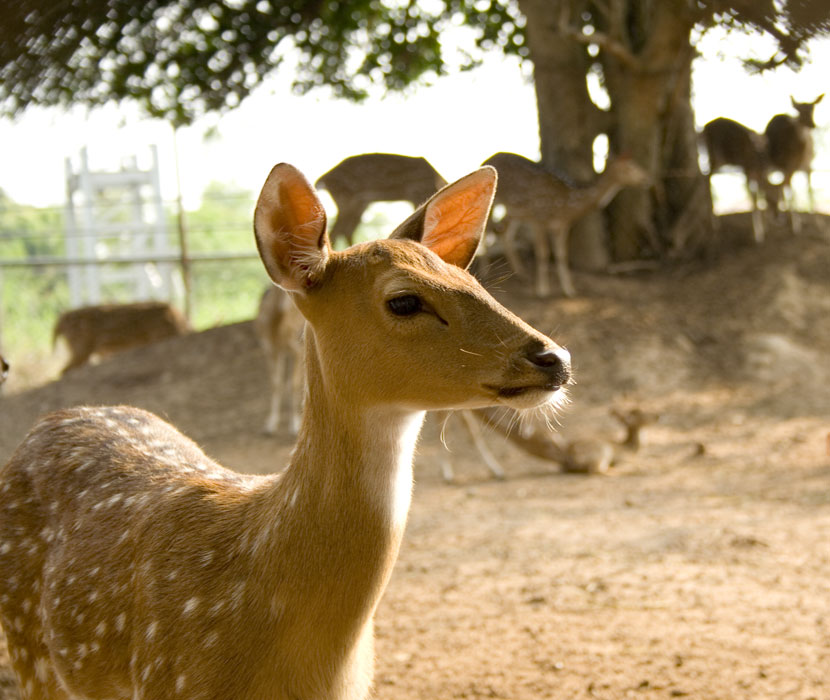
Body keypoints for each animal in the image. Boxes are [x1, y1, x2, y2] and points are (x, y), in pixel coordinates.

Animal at [314, 153, 448, 246]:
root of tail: (323, 179)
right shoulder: (415, 193)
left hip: (359, 204)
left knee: (346, 229)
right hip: (346, 199)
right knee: (338, 230)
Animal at [484, 152, 652, 296]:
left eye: (636, 163)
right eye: (629, 167)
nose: (647, 179)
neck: (568, 204)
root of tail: (489, 158)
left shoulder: (563, 225)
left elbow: (562, 254)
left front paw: (569, 290)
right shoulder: (538, 217)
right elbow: (543, 253)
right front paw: (542, 290)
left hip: (515, 211)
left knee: (505, 232)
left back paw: (521, 273)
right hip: (499, 203)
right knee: (489, 230)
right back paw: (485, 271)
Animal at [768, 94, 824, 235]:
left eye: (813, 109)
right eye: (799, 111)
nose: (812, 125)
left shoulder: (808, 167)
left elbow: (810, 190)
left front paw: (818, 223)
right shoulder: (788, 165)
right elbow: (789, 189)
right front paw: (795, 225)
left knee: (782, 186)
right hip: (780, 166)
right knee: (782, 186)